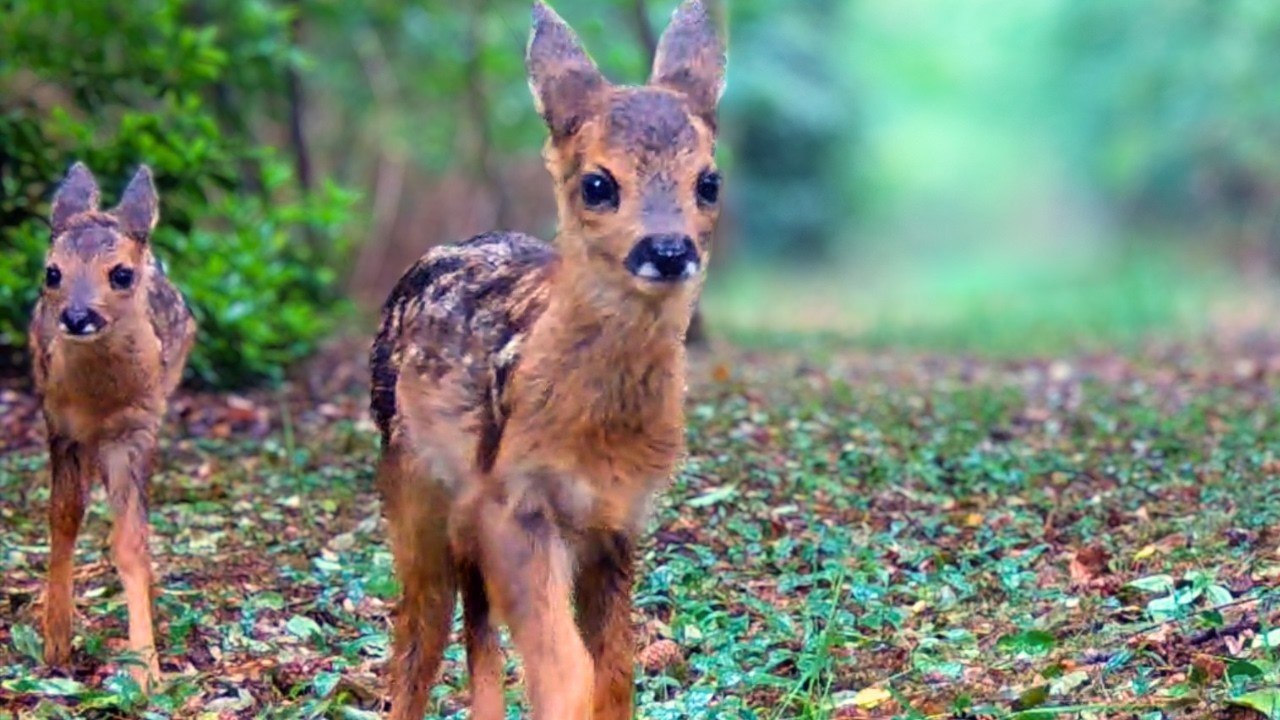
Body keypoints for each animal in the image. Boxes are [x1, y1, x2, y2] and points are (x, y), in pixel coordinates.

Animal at [29, 162, 196, 692]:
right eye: (52, 272)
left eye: (121, 273)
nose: (77, 315)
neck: (98, 401)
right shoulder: (58, 422)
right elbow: (63, 516)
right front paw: (56, 643)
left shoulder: (136, 430)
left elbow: (130, 541)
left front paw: (147, 672)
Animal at [368, 1, 725, 717]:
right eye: (598, 183)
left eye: (709, 181)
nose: (668, 249)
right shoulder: (513, 503)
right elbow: (567, 671)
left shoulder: (617, 520)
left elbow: (614, 673)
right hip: (412, 486)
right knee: (420, 630)